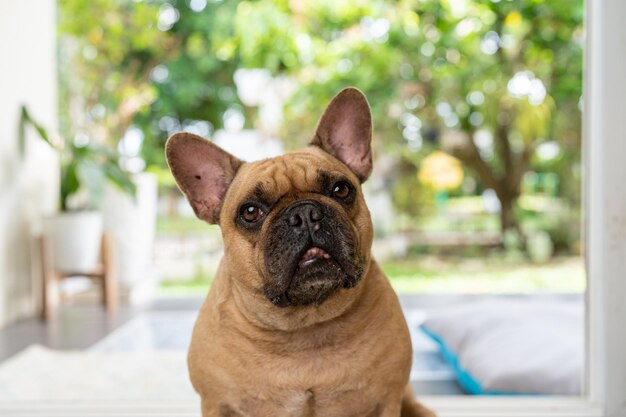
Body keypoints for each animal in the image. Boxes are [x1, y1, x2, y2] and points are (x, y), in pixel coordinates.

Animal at [166, 88, 434, 416]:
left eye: (341, 190)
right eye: (250, 212)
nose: (304, 213)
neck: (305, 325)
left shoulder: (387, 400)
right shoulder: (217, 404)